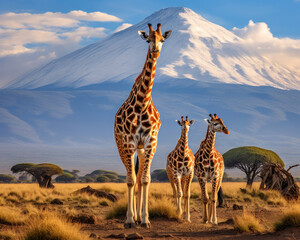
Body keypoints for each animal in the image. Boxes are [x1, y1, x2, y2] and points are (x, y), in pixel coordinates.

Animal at [114, 23, 171, 229]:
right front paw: (129, 220)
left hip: (140, 148)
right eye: (148, 40)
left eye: (162, 39)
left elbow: (145, 179)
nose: (155, 50)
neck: (142, 103)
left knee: (139, 177)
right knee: (130, 176)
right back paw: (131, 218)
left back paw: (139, 217)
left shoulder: (150, 141)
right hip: (122, 145)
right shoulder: (129, 141)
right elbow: (130, 180)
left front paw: (145, 219)